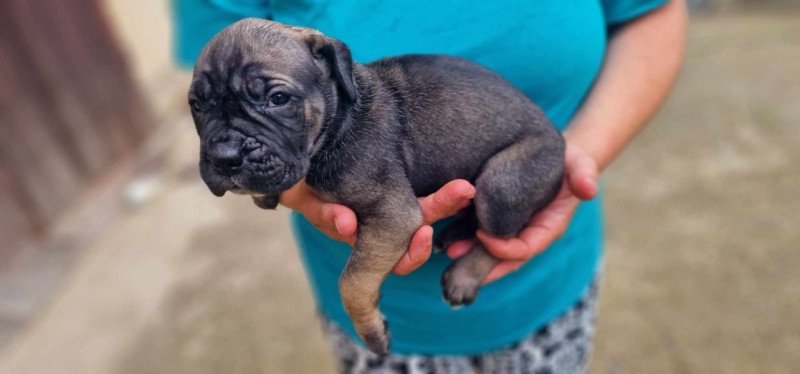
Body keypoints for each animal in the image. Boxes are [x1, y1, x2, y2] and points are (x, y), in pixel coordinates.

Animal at [188, 19, 564, 356]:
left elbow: (351, 282)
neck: (340, 120)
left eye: (278, 98)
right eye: (197, 105)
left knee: (500, 238)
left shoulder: (391, 215)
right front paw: (265, 192)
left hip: (502, 181)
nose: (225, 157)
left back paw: (465, 274)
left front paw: (371, 331)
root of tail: (560, 146)